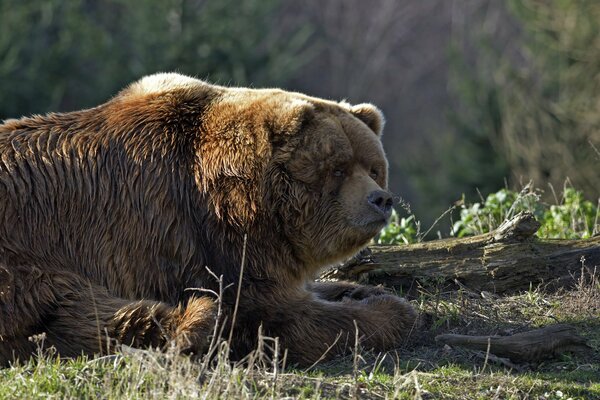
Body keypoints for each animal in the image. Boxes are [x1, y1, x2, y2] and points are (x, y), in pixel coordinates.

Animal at [0, 73, 418, 368]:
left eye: (373, 168)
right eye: (338, 168)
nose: (380, 199)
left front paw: (359, 289)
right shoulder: (204, 240)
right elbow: (276, 318)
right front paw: (390, 311)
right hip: (26, 254)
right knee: (72, 308)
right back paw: (196, 319)